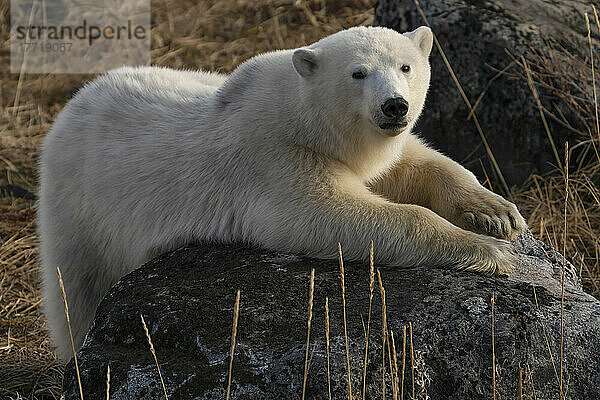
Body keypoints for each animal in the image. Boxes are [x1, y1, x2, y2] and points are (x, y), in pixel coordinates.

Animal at [36, 27, 524, 360]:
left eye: (406, 66)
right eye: (358, 73)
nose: (394, 106)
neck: (302, 118)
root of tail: (70, 107)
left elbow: (416, 164)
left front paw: (496, 213)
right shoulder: (275, 157)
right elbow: (327, 214)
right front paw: (489, 249)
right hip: (81, 214)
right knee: (75, 293)